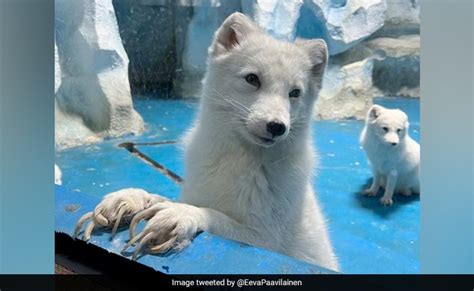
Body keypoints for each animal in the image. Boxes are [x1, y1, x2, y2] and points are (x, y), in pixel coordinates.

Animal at [74, 11, 338, 272]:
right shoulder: (194, 191)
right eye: (252, 79)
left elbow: (215, 216)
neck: (239, 158)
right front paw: (133, 198)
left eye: (295, 93)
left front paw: (183, 214)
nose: (277, 127)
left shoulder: (267, 243)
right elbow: (163, 199)